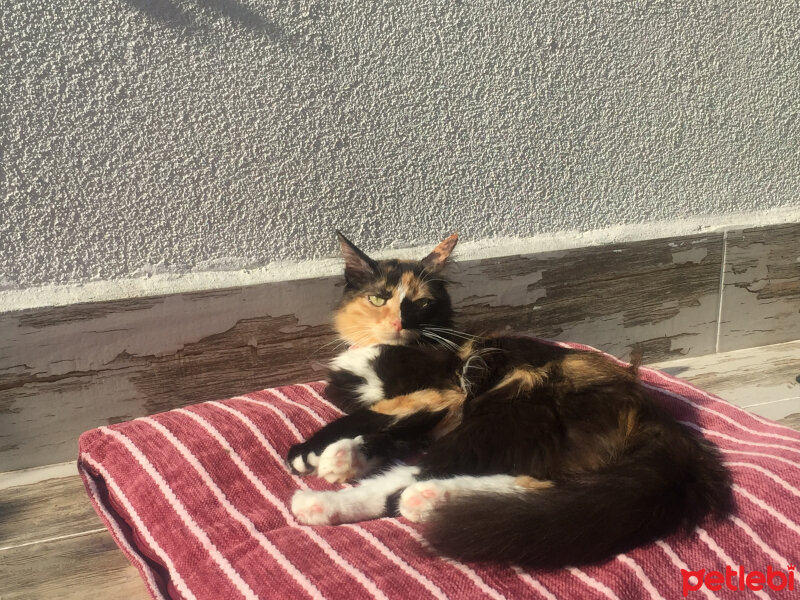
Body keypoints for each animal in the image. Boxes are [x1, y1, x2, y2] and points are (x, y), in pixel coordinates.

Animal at [288, 231, 732, 568]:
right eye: (379, 298)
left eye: (421, 303)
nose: (400, 321)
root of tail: (660, 421)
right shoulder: (432, 410)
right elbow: (387, 429)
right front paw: (345, 456)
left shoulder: (446, 390)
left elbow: (373, 414)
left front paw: (312, 452)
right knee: (538, 479)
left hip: (512, 403)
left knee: (422, 473)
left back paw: (346, 501)